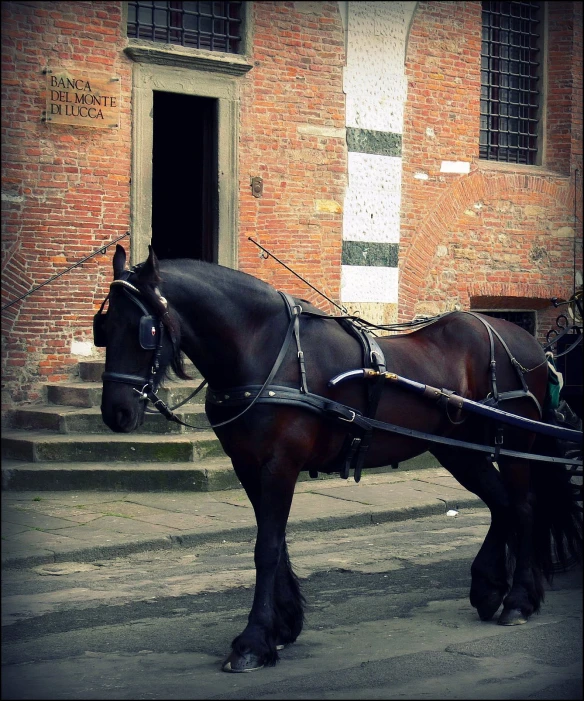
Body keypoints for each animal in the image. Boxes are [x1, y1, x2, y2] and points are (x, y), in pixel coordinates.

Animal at [96, 246, 580, 672]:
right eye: (103, 326)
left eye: (144, 330)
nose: (115, 412)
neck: (264, 349)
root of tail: (526, 341)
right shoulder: (248, 465)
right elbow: (275, 543)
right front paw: (283, 625)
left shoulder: (280, 463)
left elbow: (266, 548)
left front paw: (253, 642)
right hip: (458, 448)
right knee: (501, 505)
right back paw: (489, 586)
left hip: (514, 438)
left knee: (523, 507)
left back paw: (518, 599)